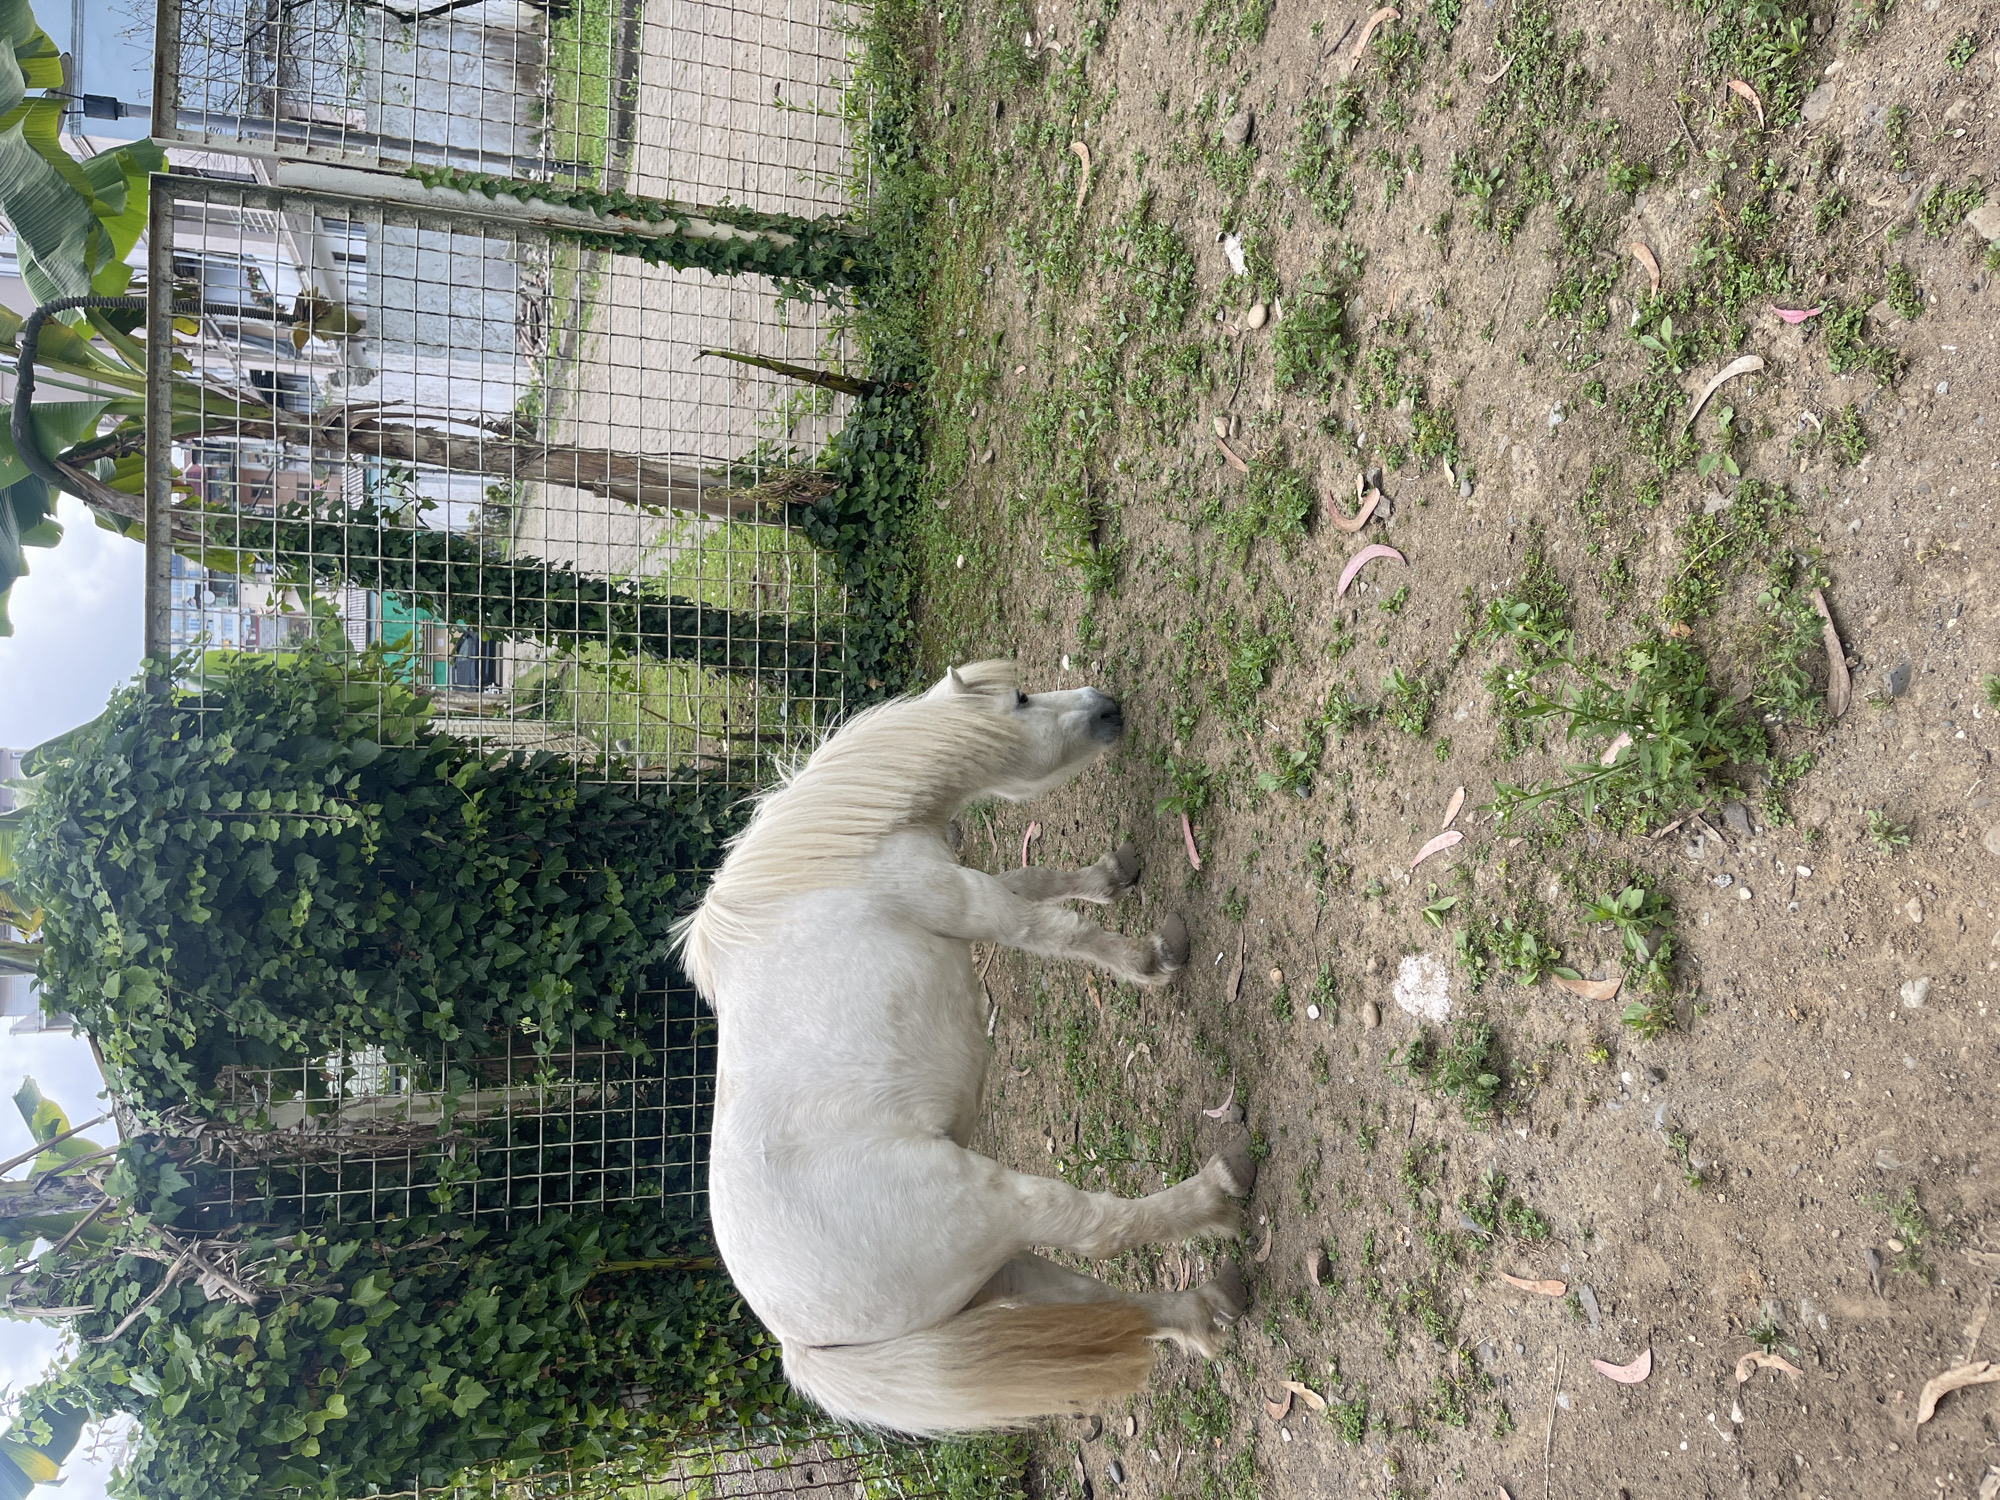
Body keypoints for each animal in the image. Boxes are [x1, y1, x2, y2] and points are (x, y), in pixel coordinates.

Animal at [674, 660, 1256, 1435]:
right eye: (1021, 698)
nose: (1107, 705)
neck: (828, 855)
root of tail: (803, 1342)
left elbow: (1036, 881)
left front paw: (1111, 873)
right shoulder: (962, 898)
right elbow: (1052, 929)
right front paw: (1150, 959)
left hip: (992, 1272)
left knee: (1107, 1300)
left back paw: (1206, 1309)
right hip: (999, 1206)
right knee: (1101, 1229)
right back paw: (1220, 1190)